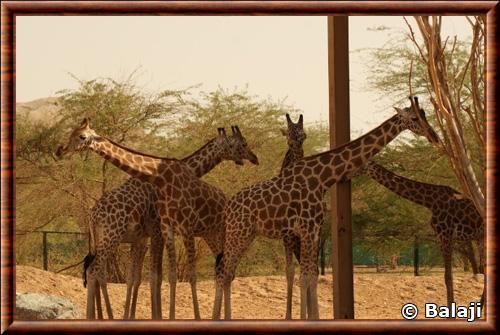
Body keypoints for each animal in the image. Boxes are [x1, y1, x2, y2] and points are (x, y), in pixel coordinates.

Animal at [54, 121, 258, 320]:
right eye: (242, 144)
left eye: (80, 135)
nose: (59, 150)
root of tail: (92, 215)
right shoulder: (156, 231)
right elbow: (153, 277)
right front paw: (151, 316)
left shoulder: (145, 236)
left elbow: (139, 278)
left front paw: (135, 316)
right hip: (110, 237)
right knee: (95, 271)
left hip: (102, 240)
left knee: (95, 271)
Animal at [213, 96, 440, 320]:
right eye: (414, 117)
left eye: (425, 115)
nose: (434, 136)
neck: (322, 178)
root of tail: (228, 207)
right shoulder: (305, 228)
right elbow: (304, 276)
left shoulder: (314, 229)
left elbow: (311, 275)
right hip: (238, 232)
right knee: (223, 272)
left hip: (247, 234)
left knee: (228, 273)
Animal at [346, 161, 482, 308]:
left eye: (358, 164)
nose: (347, 174)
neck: (430, 202)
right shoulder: (440, 238)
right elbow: (448, 276)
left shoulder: (446, 235)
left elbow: (448, 277)